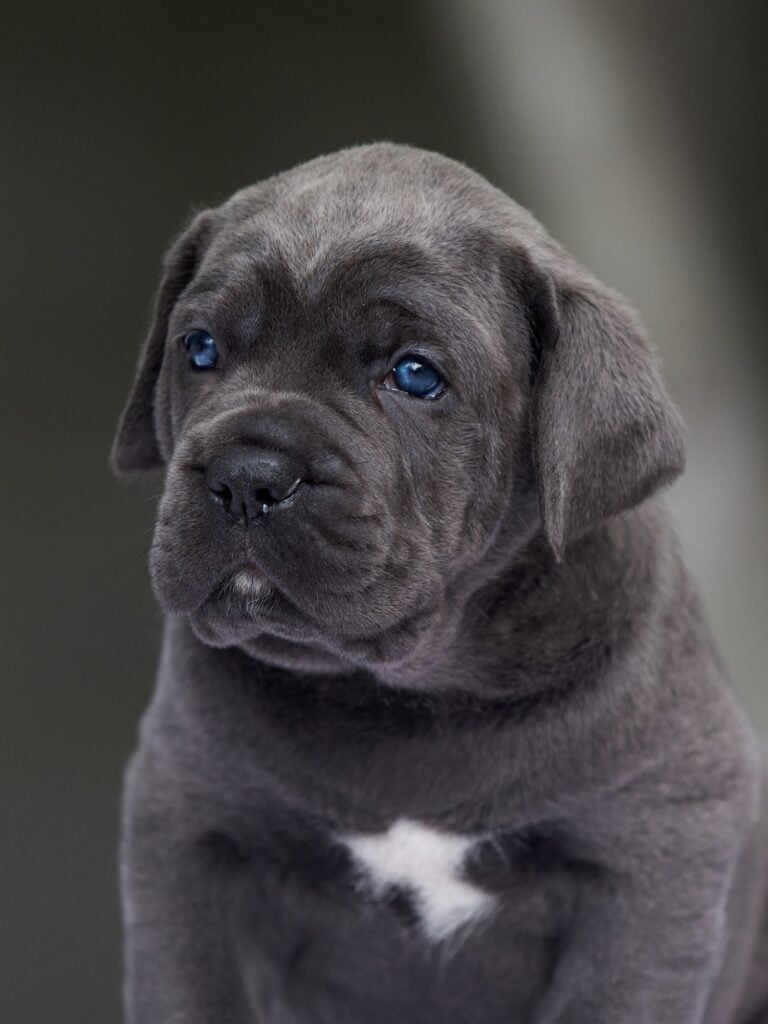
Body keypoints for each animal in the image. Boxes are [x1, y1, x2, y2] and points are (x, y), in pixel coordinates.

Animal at [111, 140, 765, 1019]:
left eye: (416, 375)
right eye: (200, 348)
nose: (248, 475)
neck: (413, 697)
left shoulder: (654, 856)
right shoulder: (189, 833)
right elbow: (192, 992)